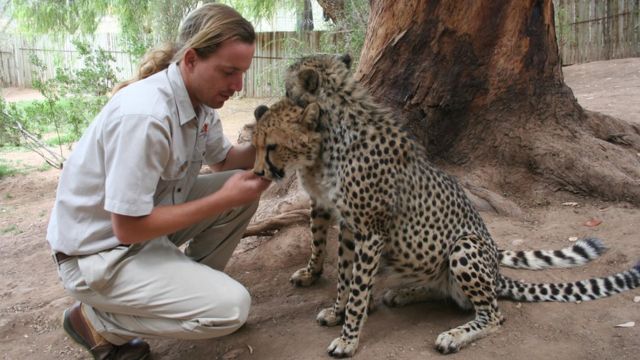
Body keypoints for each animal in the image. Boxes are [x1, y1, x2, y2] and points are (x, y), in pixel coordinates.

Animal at [250, 54, 640, 356]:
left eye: (288, 88)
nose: (273, 100)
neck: (335, 129)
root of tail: (498, 274)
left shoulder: (369, 231)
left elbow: (359, 286)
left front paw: (348, 338)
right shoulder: (348, 224)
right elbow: (346, 275)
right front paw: (337, 312)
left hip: (464, 247)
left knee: (494, 315)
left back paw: (453, 336)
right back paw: (404, 293)